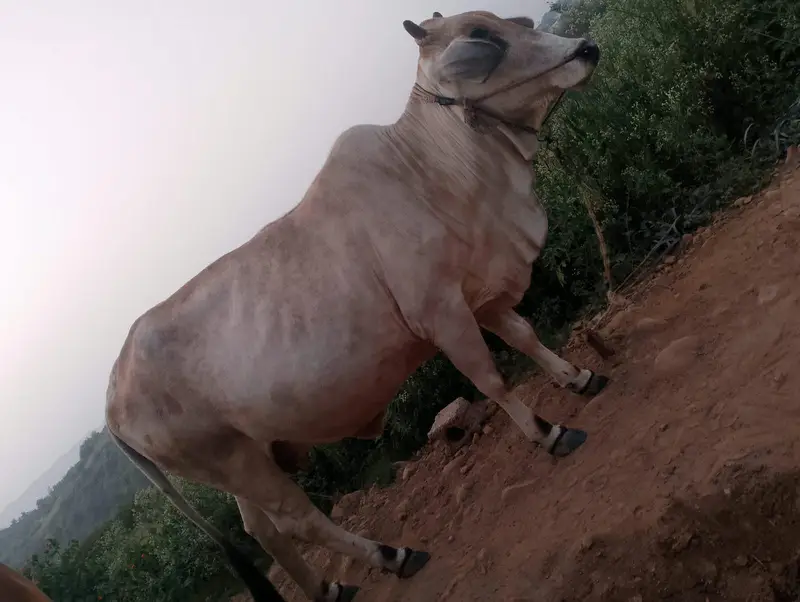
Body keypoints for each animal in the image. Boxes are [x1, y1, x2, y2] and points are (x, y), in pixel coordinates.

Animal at [106, 10, 605, 602]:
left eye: (516, 22)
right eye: (480, 41)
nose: (586, 48)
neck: (434, 172)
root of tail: (111, 398)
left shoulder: (479, 291)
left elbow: (525, 335)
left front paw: (579, 377)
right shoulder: (443, 314)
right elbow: (492, 379)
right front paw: (548, 432)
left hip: (245, 458)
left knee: (262, 529)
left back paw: (327, 587)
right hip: (232, 461)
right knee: (297, 520)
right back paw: (392, 555)